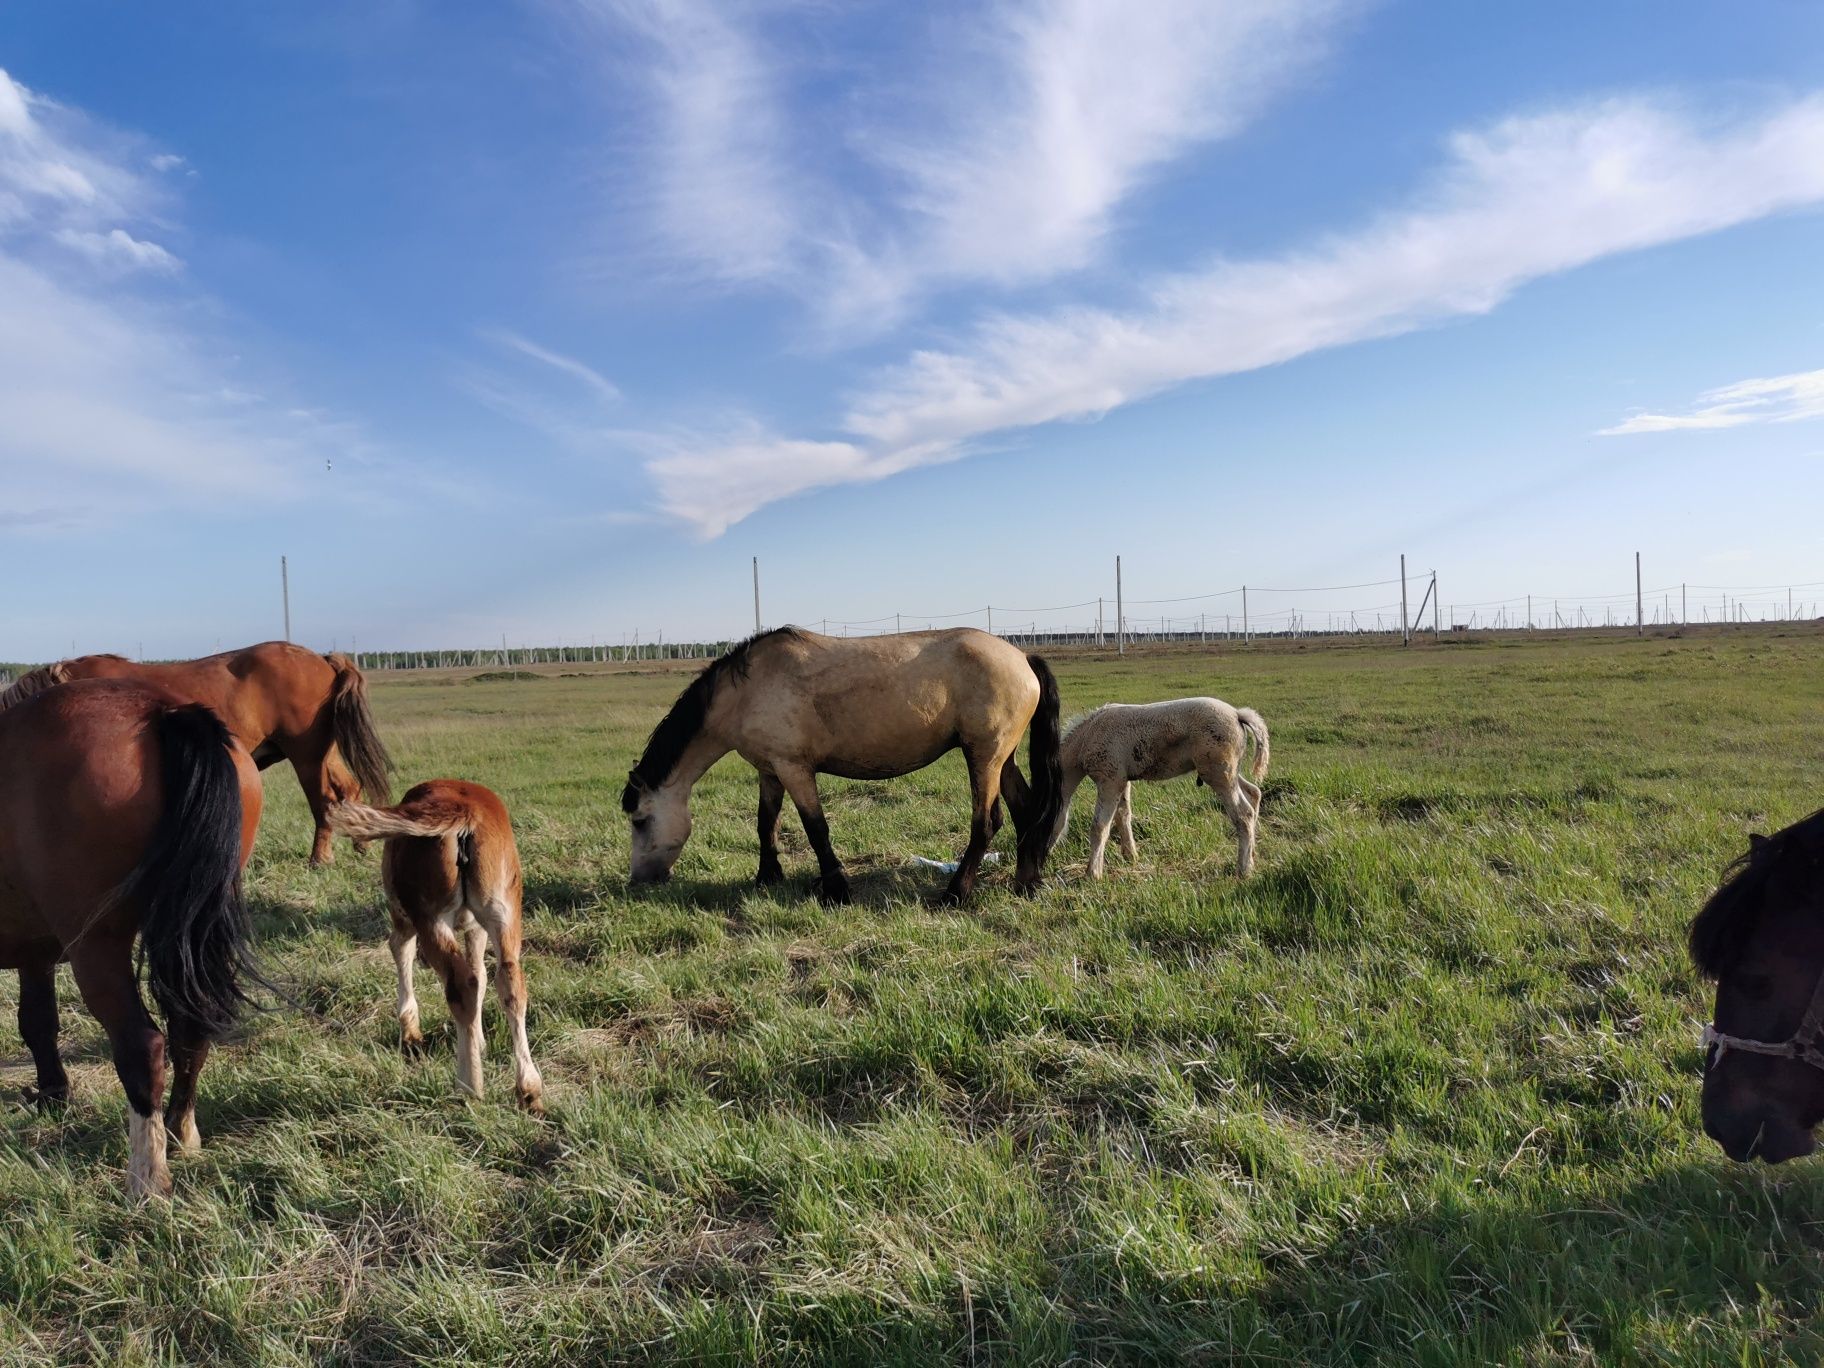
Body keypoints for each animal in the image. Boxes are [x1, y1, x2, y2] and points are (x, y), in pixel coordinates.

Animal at [0, 682, 266, 1196]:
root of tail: (160, 709)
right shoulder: (34, 952)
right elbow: (37, 1022)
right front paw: (54, 1094)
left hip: (97, 948)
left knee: (144, 1045)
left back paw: (147, 1177)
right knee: (188, 1031)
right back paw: (180, 1134)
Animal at [1, 645, 388, 868]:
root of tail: (320, 658)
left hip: (306, 755)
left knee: (323, 803)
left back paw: (320, 858)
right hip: (325, 753)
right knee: (348, 789)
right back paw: (360, 843)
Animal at [326, 780, 539, 1116]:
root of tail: (463, 808)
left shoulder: (405, 915)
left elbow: (400, 948)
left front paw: (410, 1032)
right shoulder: (476, 926)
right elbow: (481, 974)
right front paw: (478, 1041)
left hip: (430, 915)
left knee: (459, 983)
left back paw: (468, 1086)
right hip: (504, 909)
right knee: (509, 982)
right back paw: (529, 1090)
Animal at [623, 631, 1065, 912]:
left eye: (640, 820)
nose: (639, 881)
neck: (747, 691)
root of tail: (1022, 657)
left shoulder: (794, 769)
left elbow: (816, 829)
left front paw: (836, 889)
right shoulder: (770, 771)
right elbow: (766, 824)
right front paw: (767, 876)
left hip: (984, 757)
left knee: (987, 823)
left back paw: (955, 894)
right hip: (1001, 757)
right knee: (1026, 810)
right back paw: (1026, 881)